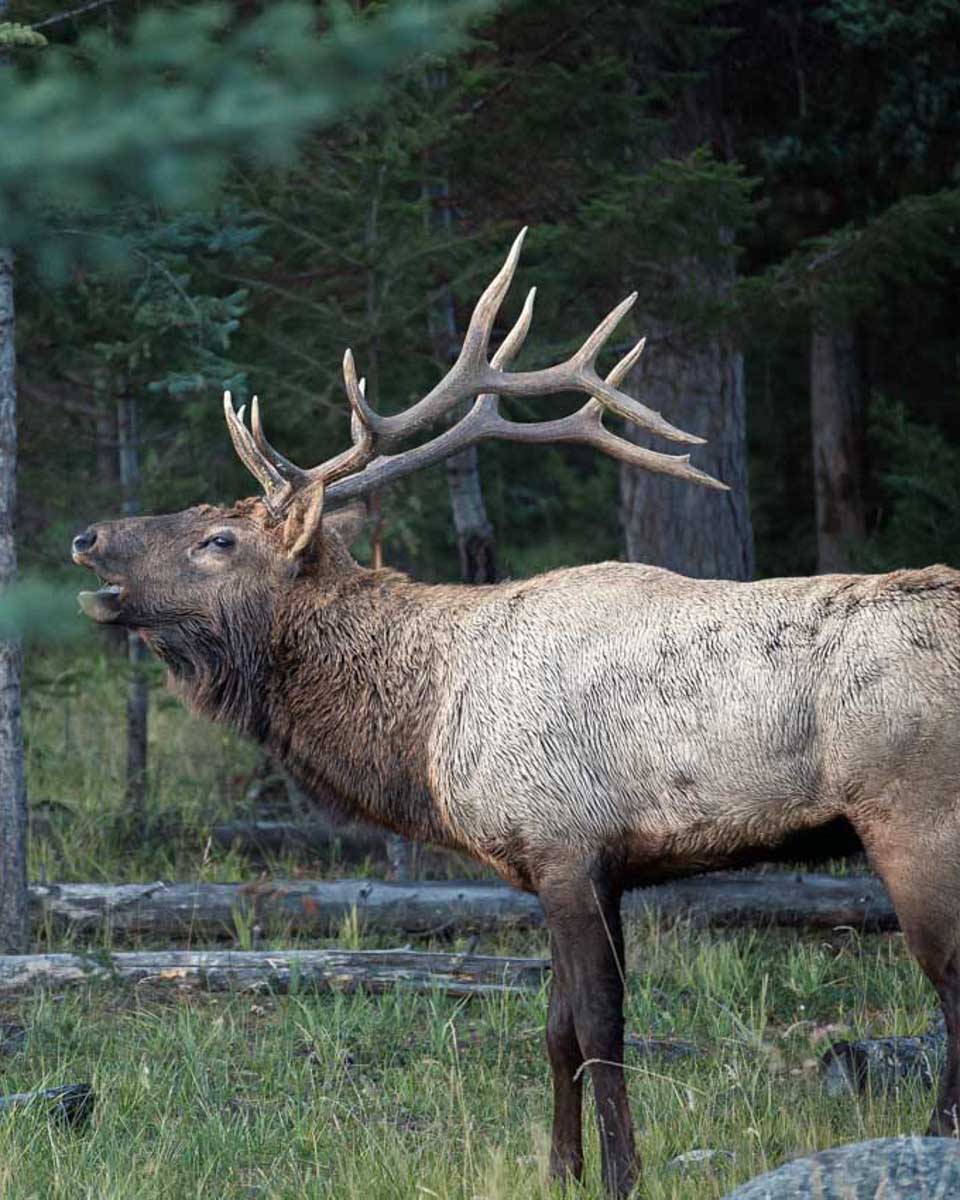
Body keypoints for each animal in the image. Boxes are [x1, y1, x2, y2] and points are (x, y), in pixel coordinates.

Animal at [72, 229, 960, 1197]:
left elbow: (602, 1029)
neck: (426, 730)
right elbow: (557, 1029)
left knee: (950, 985)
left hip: (915, 815)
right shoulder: (568, 863)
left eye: (218, 539)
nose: (87, 535)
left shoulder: (569, 843)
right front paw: (561, 1168)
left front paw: (620, 1173)